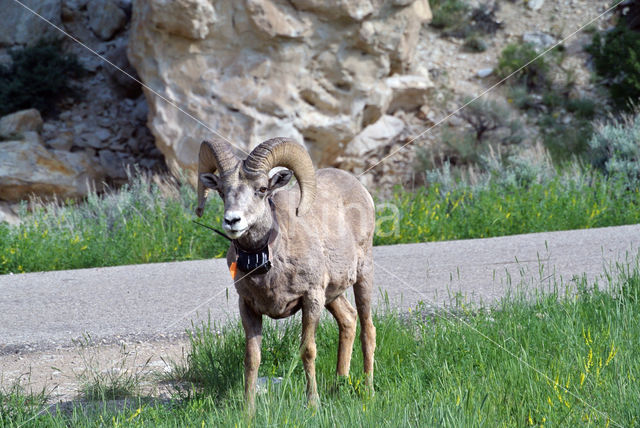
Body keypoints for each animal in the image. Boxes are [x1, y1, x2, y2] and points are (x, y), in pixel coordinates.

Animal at [195, 137, 376, 412]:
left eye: (261, 189)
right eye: (222, 191)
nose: (232, 221)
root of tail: (360, 189)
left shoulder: (311, 300)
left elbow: (308, 350)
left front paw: (313, 404)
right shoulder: (248, 307)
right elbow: (252, 357)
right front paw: (248, 411)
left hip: (363, 275)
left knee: (368, 329)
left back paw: (368, 392)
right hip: (333, 295)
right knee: (348, 320)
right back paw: (338, 386)